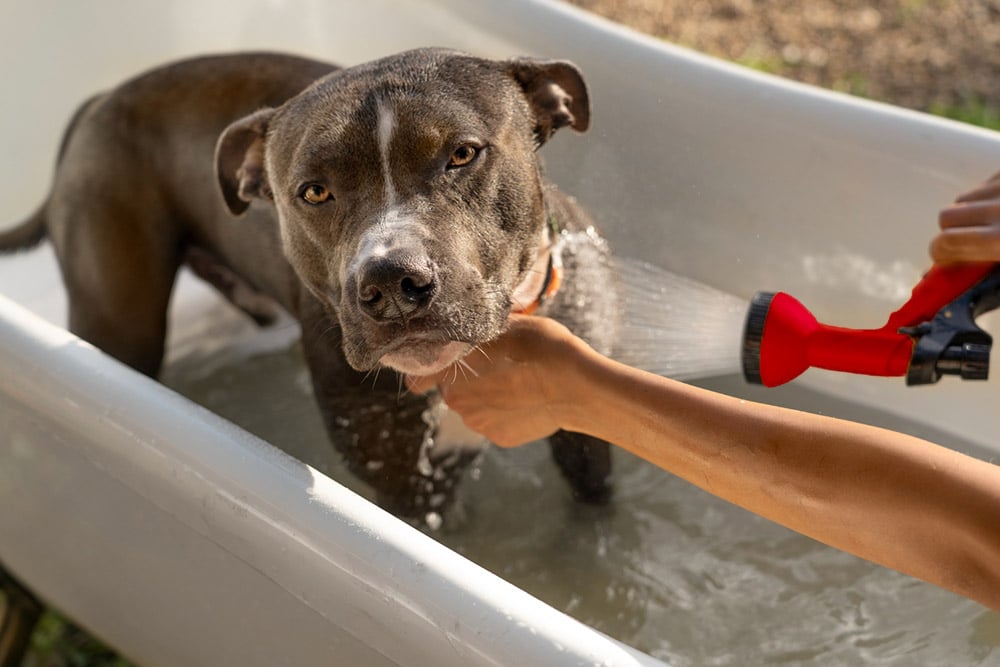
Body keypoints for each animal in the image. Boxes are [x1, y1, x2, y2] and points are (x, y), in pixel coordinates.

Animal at [0, 51, 620, 520]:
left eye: (462, 154)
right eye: (314, 191)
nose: (391, 281)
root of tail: (99, 102)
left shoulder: (586, 436)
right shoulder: (409, 485)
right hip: (119, 320)